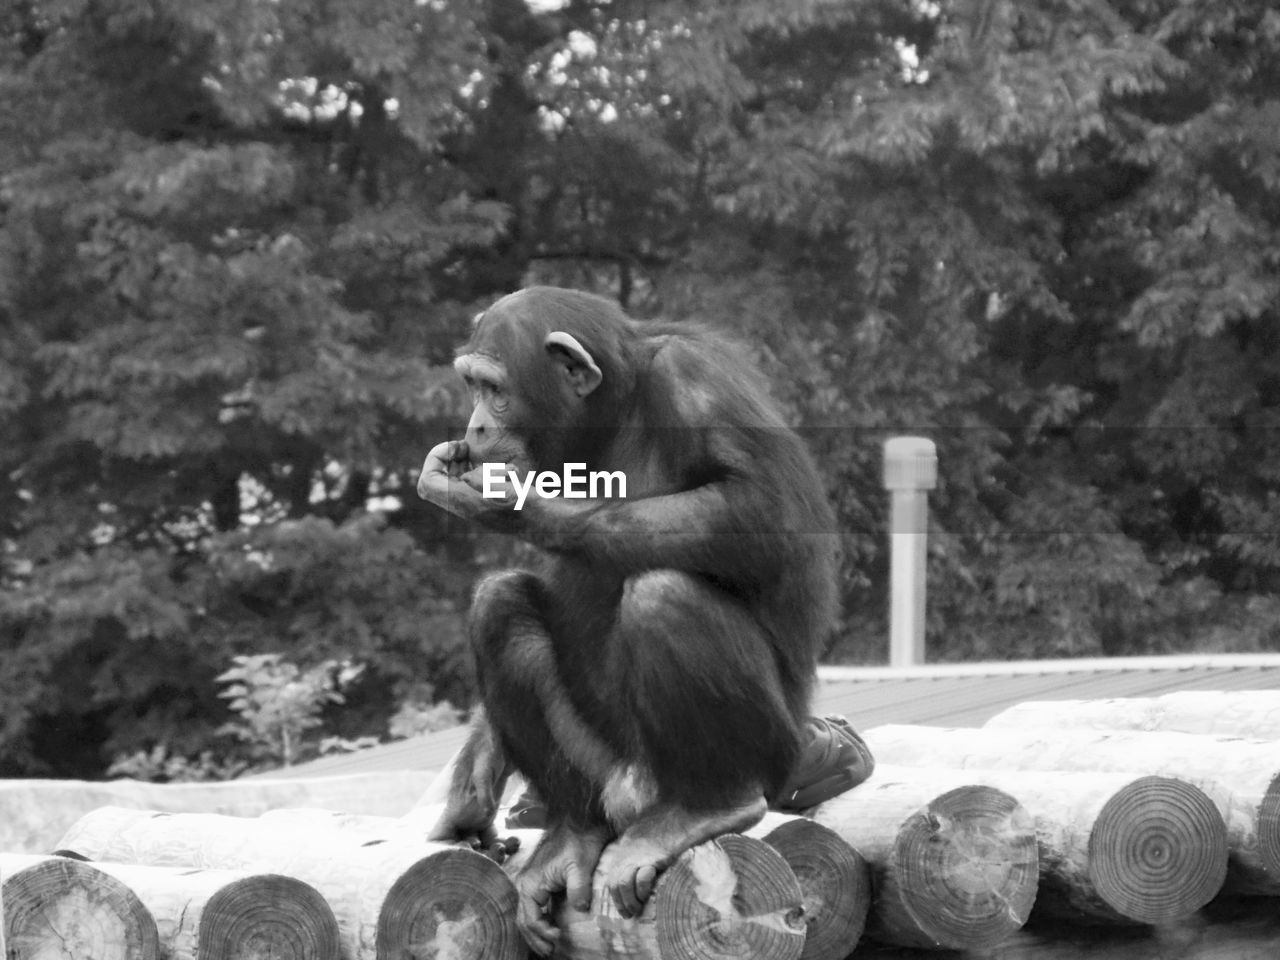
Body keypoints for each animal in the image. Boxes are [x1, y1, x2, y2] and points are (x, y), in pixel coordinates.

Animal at [417, 284, 839, 957]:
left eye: (494, 389)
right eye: (471, 387)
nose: (475, 424)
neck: (613, 409)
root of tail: (632, 792)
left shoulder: (698, 384)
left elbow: (765, 510)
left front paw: (519, 503)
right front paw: (468, 792)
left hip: (770, 754)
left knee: (664, 596)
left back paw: (712, 806)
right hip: (600, 771)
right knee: (500, 605)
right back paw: (571, 836)